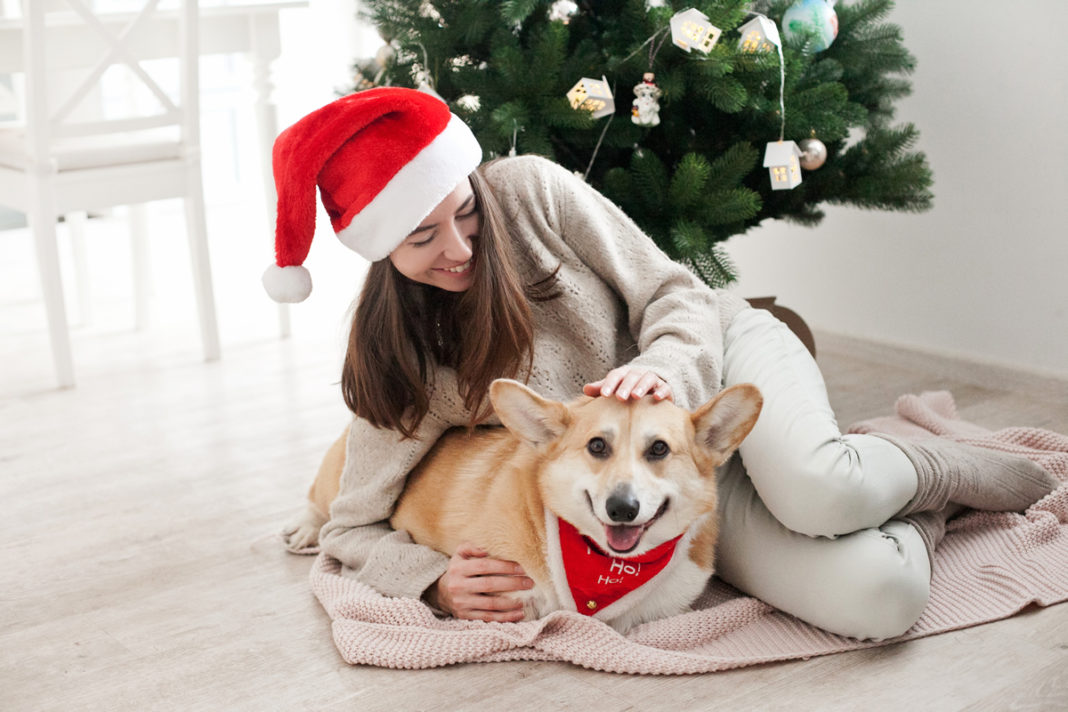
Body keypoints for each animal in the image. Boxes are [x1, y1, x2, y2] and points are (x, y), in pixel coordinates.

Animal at [286, 382, 760, 631]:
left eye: (659, 449)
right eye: (597, 446)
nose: (622, 508)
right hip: (340, 481)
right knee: (326, 513)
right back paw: (305, 529)